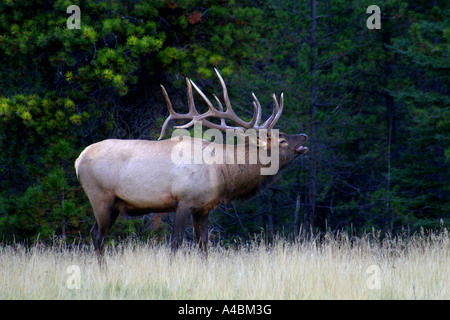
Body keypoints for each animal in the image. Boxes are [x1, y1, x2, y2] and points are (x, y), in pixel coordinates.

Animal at [76, 69, 310, 262]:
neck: (221, 173)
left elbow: (204, 244)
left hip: (115, 204)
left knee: (97, 234)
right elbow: (175, 243)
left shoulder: (203, 207)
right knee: (98, 235)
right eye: (282, 140)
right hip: (100, 196)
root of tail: (78, 160)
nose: (304, 136)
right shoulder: (184, 200)